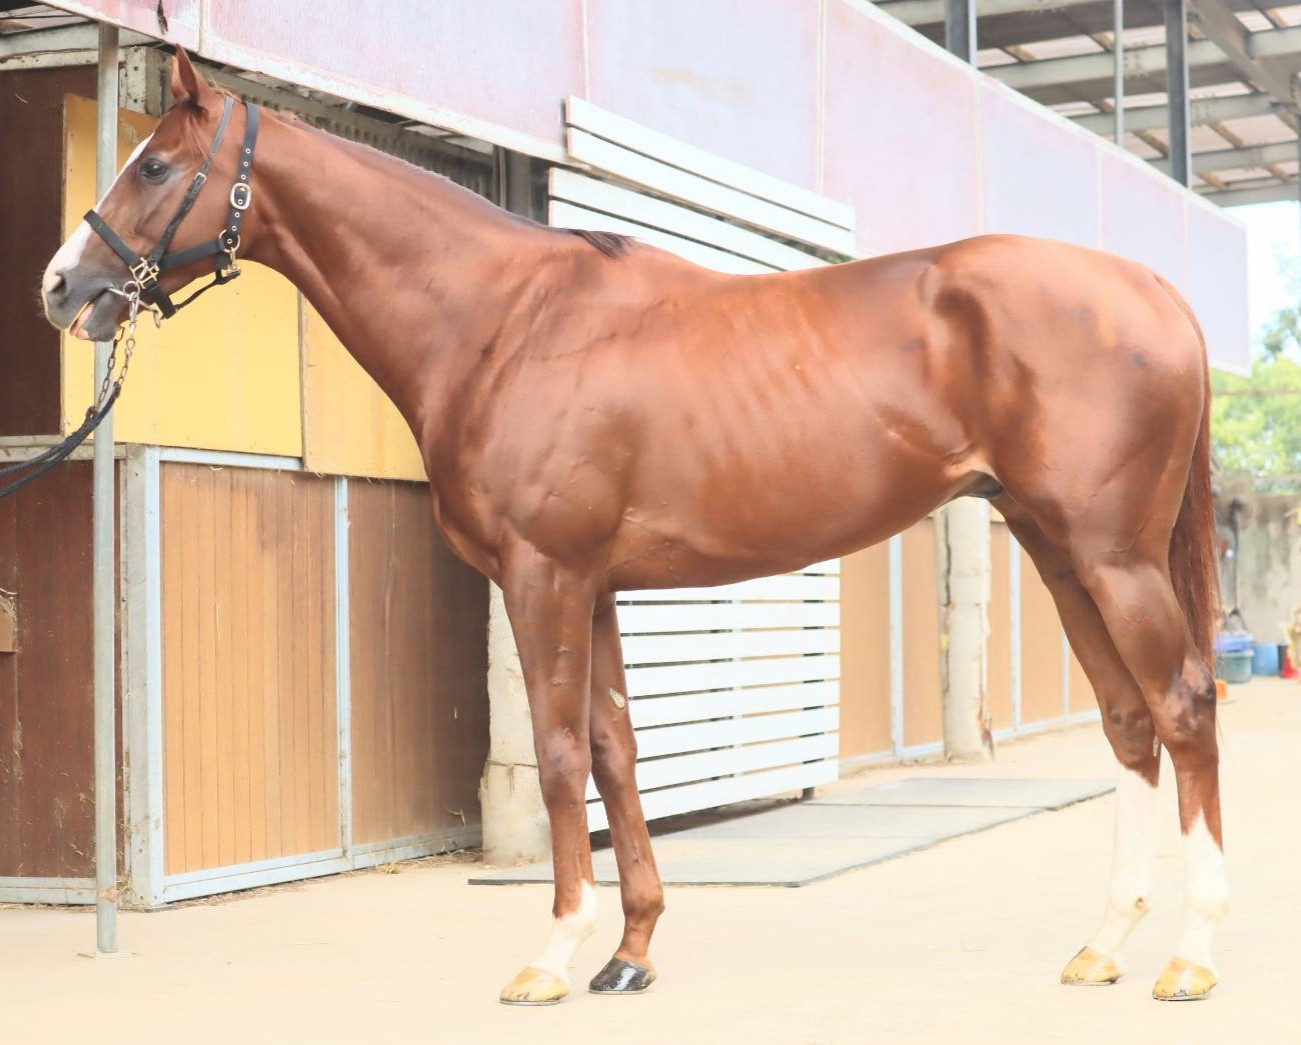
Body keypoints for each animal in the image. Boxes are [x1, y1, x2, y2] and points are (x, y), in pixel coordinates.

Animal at [42, 50, 1226, 1005]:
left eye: (154, 167)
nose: (63, 284)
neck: (500, 322)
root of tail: (1154, 289)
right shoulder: (597, 586)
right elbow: (617, 749)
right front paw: (629, 951)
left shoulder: (542, 576)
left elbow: (562, 752)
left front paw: (551, 956)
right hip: (1056, 552)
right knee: (1128, 722)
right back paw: (1103, 944)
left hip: (1112, 557)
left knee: (1181, 706)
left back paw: (1191, 956)